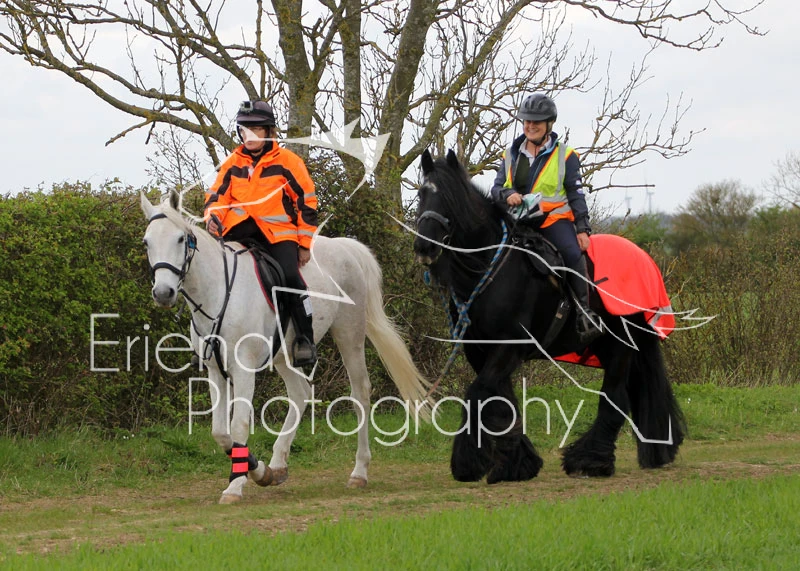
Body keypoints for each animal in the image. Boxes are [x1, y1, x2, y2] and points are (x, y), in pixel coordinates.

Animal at [140, 191, 431, 503]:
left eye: (181, 239)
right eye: (147, 242)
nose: (163, 293)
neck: (218, 291)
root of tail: (345, 247)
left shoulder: (243, 369)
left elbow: (239, 424)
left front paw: (236, 485)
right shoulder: (215, 369)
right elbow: (220, 431)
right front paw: (259, 471)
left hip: (349, 334)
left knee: (360, 393)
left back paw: (359, 471)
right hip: (284, 354)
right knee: (300, 392)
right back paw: (277, 465)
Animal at [412, 150, 685, 484]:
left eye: (451, 198)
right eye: (422, 194)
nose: (424, 246)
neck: (490, 267)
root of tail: (642, 257)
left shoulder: (508, 346)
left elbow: (478, 392)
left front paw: (469, 462)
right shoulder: (480, 350)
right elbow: (500, 401)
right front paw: (518, 464)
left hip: (623, 343)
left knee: (615, 397)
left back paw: (590, 460)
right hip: (606, 346)